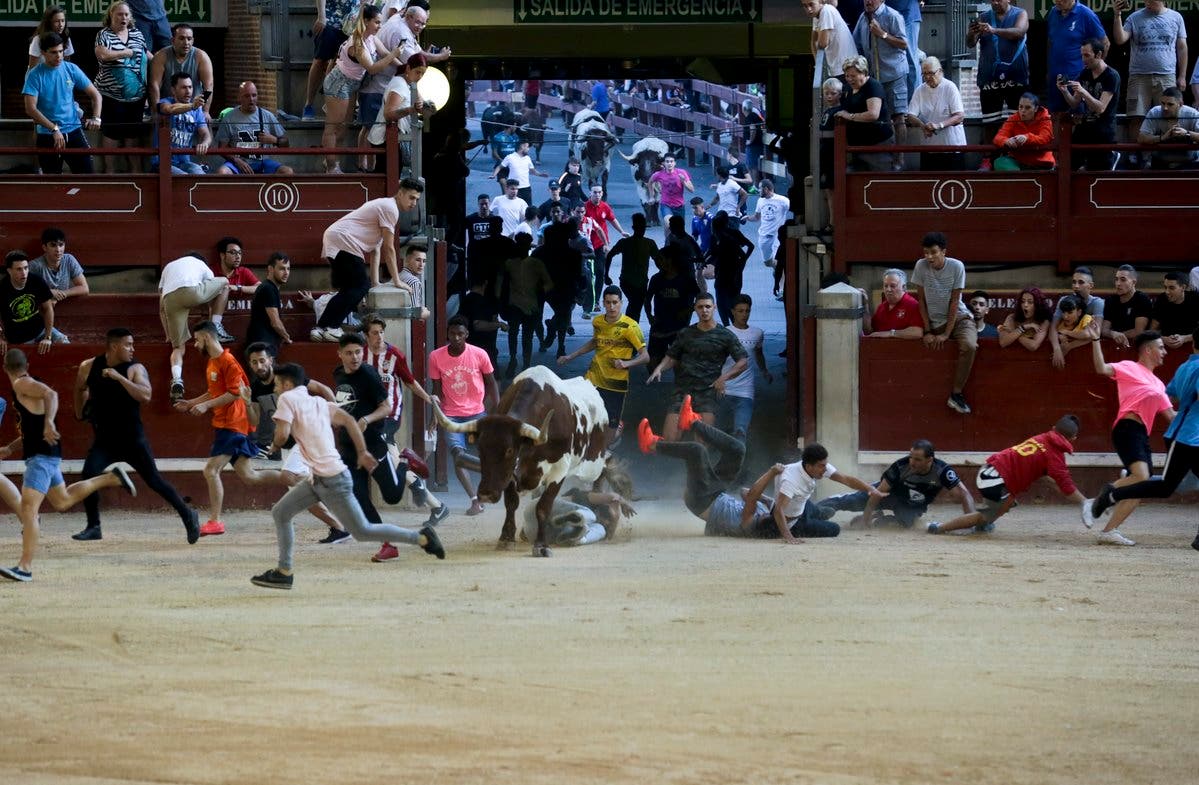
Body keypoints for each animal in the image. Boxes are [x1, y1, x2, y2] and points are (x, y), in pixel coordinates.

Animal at [431, 366, 609, 558]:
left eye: (509, 450)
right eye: (480, 448)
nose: (486, 494)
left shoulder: (559, 469)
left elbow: (543, 506)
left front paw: (541, 544)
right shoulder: (511, 474)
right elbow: (511, 503)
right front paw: (506, 538)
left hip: (593, 465)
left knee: (600, 473)